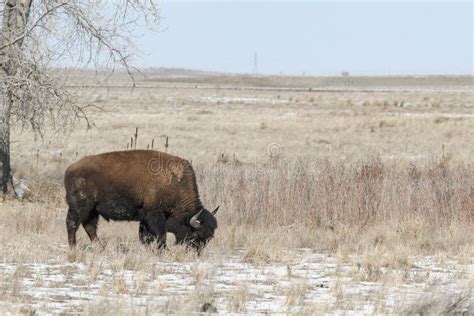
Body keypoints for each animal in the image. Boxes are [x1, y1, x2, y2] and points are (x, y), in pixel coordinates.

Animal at [64, 150, 218, 252]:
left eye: (210, 237)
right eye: (197, 234)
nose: (196, 252)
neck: (175, 183)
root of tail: (70, 169)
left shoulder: (145, 218)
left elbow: (145, 235)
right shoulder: (154, 214)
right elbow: (160, 235)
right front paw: (163, 250)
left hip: (93, 210)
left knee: (89, 227)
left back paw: (100, 247)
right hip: (80, 207)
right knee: (73, 224)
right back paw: (73, 247)